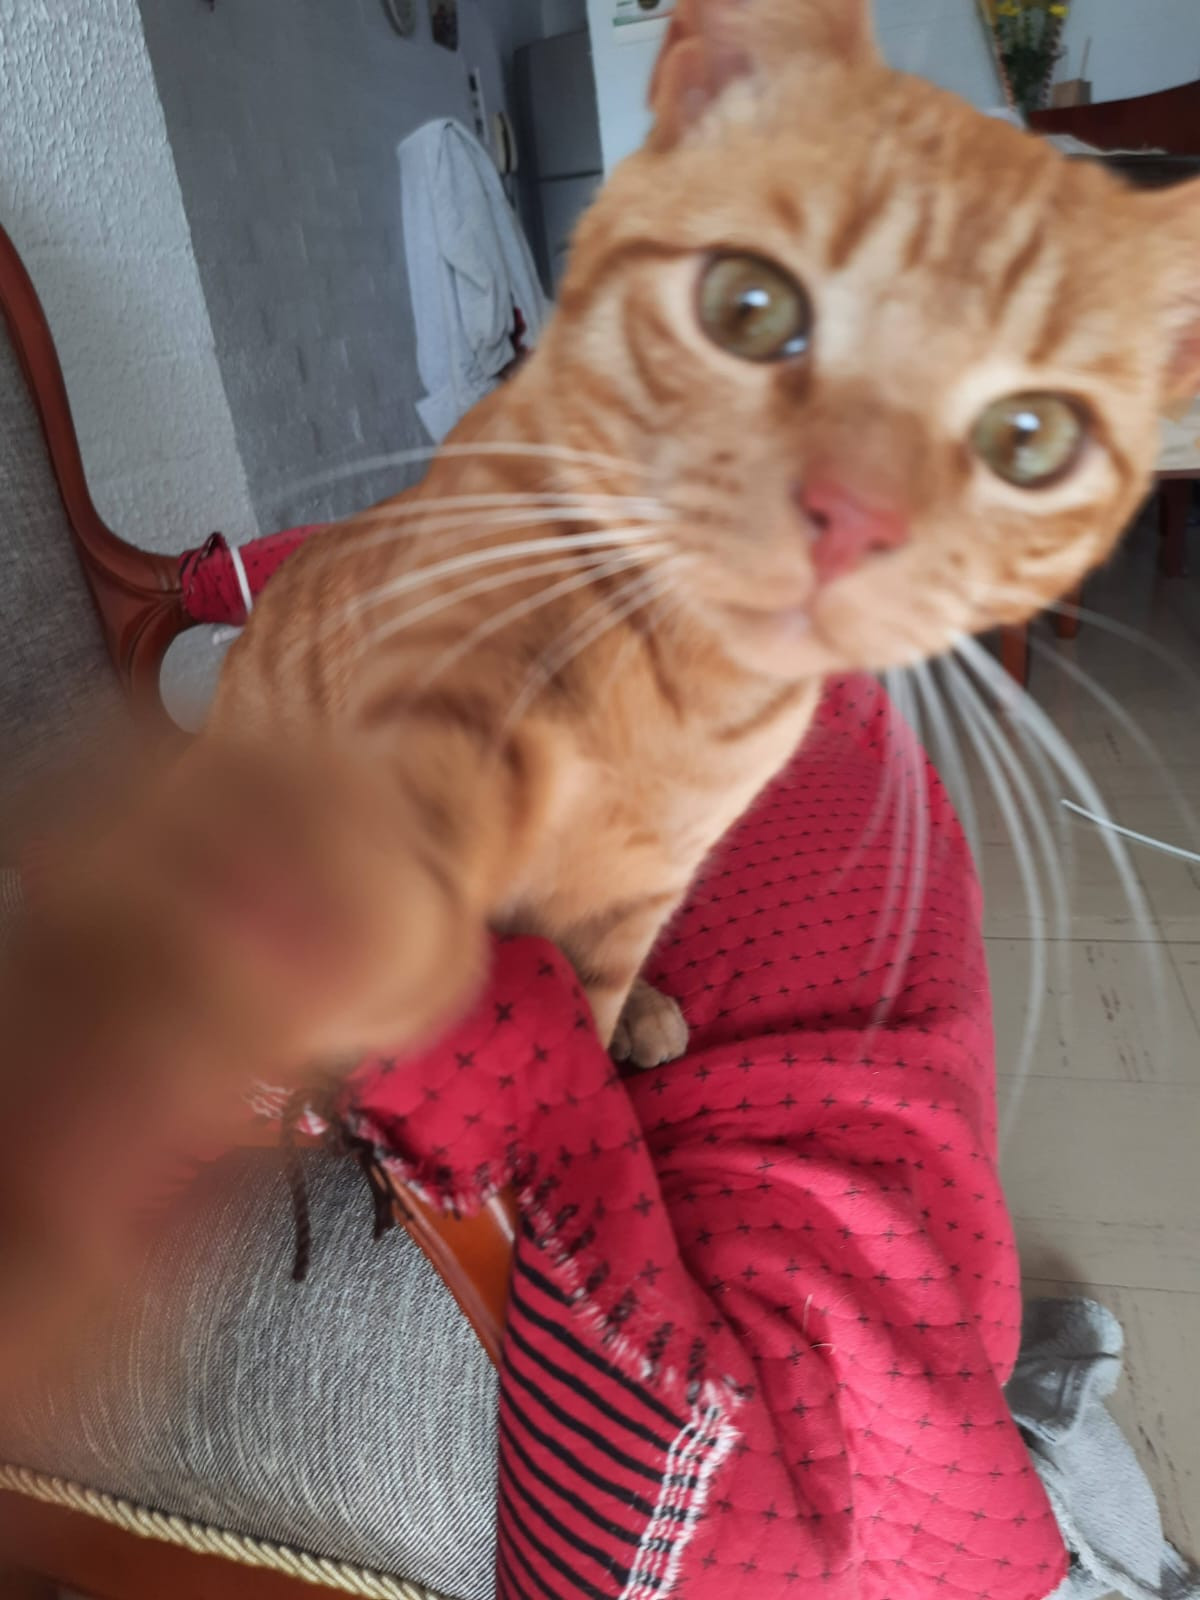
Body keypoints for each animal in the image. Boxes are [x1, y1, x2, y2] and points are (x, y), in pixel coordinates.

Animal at [1, 0, 1198, 1371]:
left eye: (1028, 438)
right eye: (752, 306)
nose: (855, 515)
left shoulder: (639, 885)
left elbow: (580, 1000)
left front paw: (602, 1048)